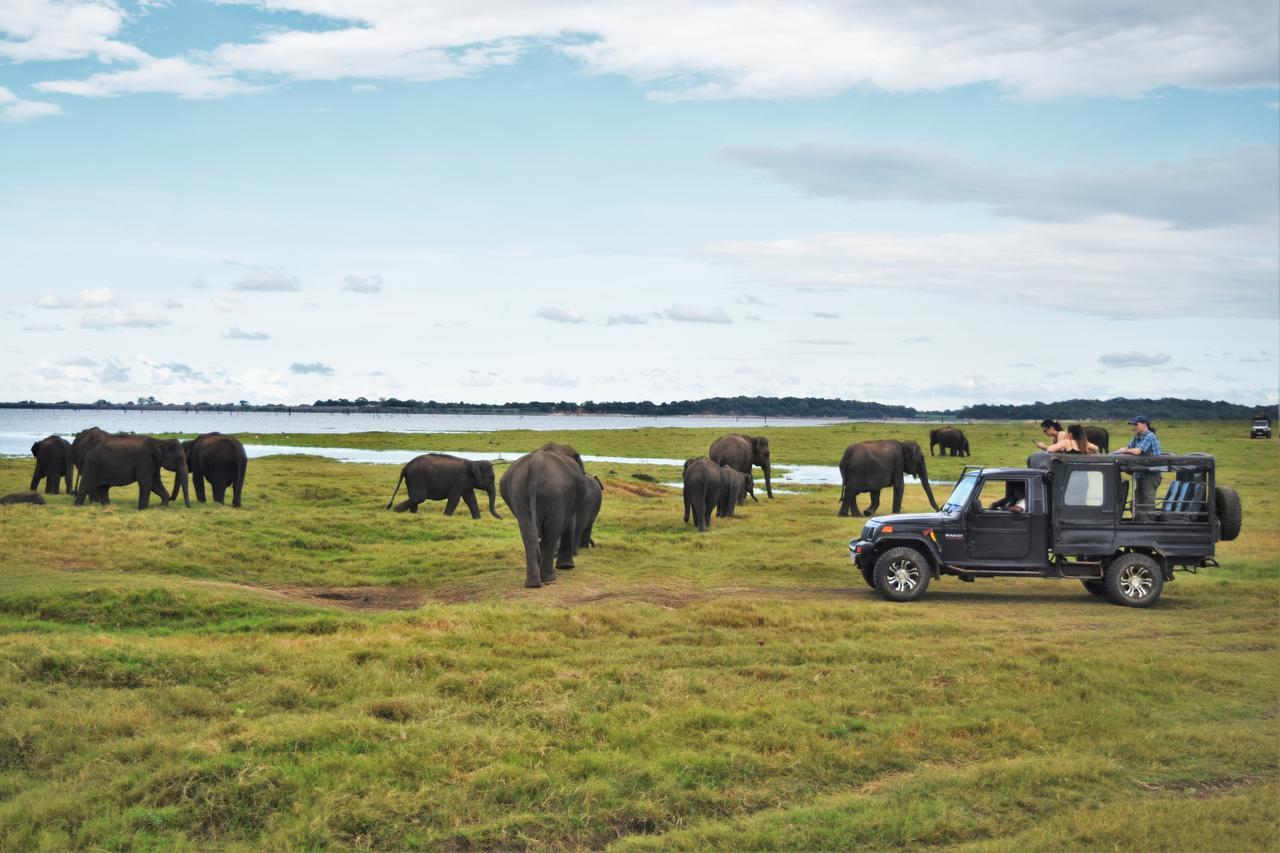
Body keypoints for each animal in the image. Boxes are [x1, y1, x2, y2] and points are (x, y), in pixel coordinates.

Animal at [499, 448, 588, 589]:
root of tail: (536, 462)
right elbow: (569, 524)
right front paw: (567, 567)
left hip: (518, 490)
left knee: (529, 532)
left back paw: (532, 583)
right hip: (557, 493)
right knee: (552, 532)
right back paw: (549, 578)